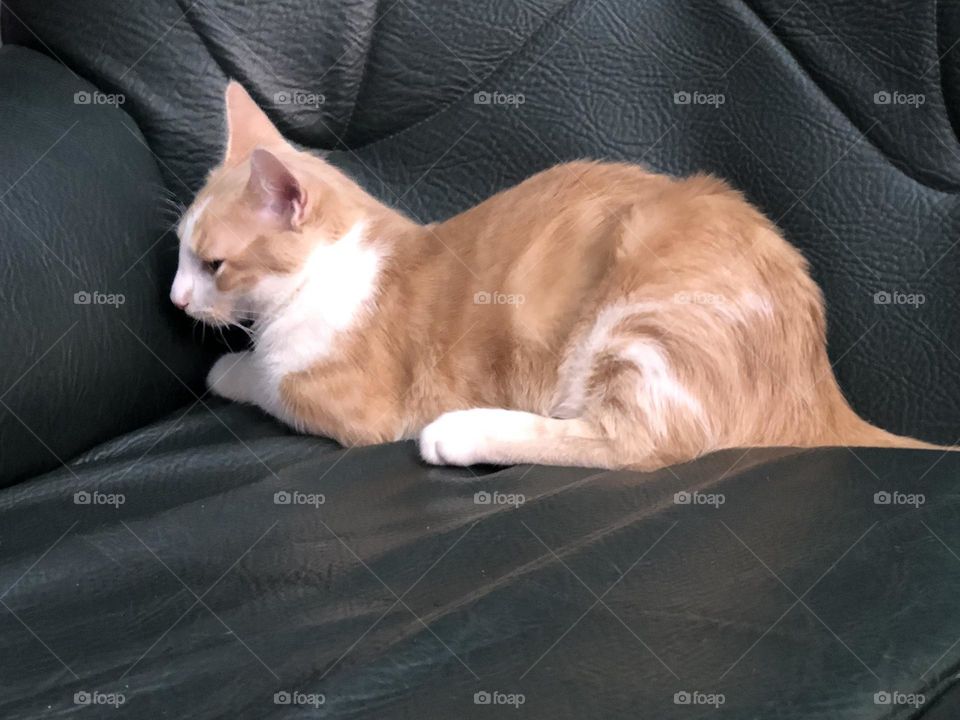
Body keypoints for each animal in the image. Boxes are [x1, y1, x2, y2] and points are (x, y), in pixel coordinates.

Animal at [171, 81, 944, 470]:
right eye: (179, 250)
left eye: (214, 264)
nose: (176, 299)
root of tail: (822, 391)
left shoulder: (350, 402)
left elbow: (268, 377)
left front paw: (230, 368)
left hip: (644, 317)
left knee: (642, 447)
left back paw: (464, 433)